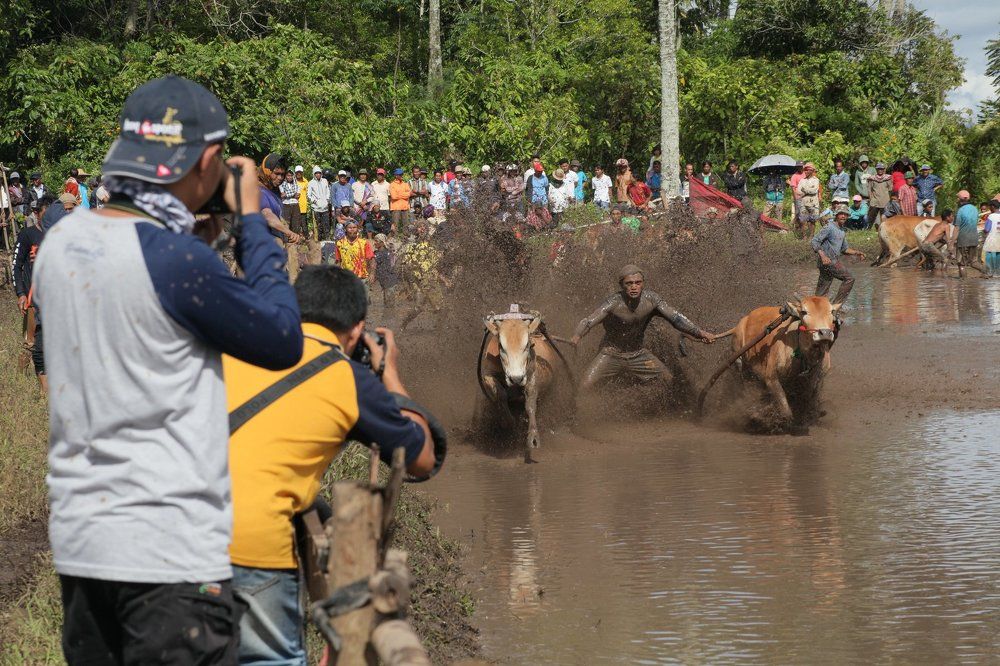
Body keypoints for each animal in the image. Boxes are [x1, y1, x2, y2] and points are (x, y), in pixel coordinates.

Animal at [478, 309, 562, 462]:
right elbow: (501, 395)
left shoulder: (532, 376)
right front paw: (508, 421)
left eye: (527, 345)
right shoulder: (488, 376)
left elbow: (530, 403)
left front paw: (533, 437)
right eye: (501, 346)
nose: (516, 378)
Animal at [721, 295, 841, 434]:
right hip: (739, 360)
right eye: (804, 312)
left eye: (832, 311)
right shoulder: (771, 378)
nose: (825, 333)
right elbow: (785, 407)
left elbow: (808, 398)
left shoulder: (817, 377)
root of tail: (742, 322)